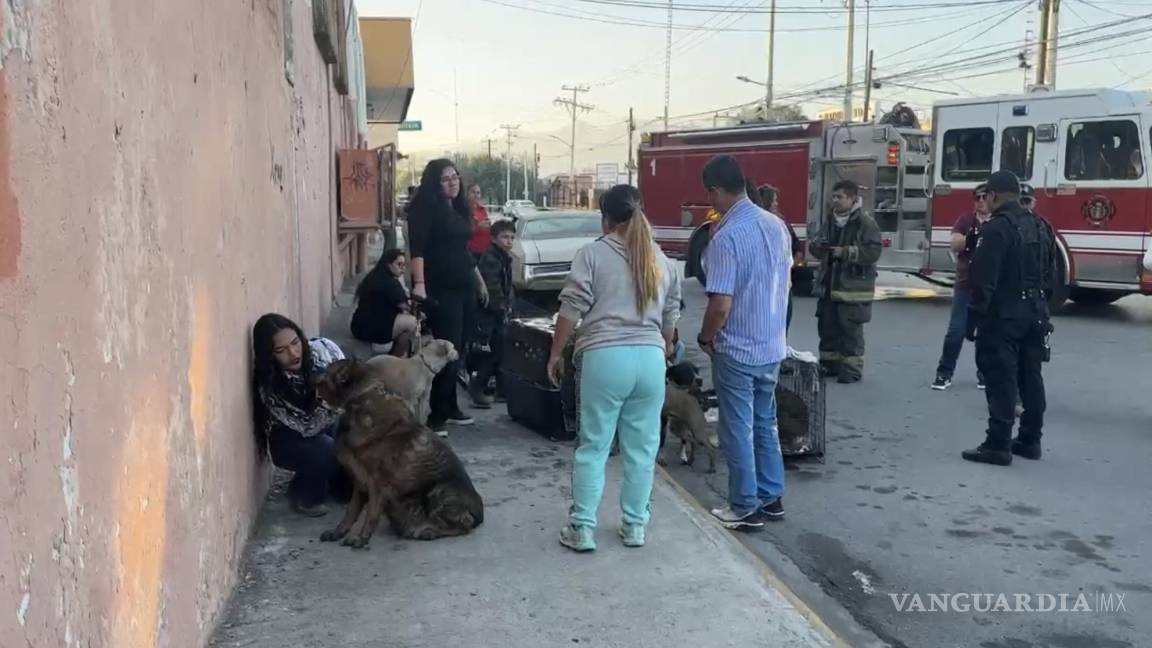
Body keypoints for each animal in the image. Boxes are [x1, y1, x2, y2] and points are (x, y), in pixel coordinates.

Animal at [313, 355, 483, 546]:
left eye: (326, 372)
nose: (312, 377)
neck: (361, 400)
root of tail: (480, 512)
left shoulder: (375, 483)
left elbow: (371, 513)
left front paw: (362, 538)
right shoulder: (360, 483)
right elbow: (350, 512)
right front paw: (338, 532)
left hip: (439, 491)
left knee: (464, 525)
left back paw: (429, 531)